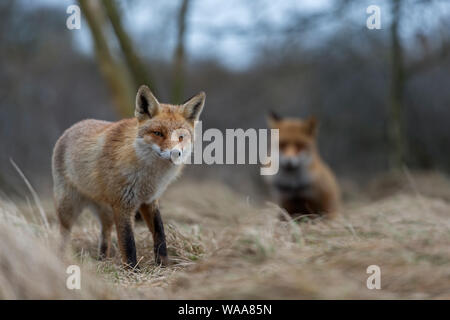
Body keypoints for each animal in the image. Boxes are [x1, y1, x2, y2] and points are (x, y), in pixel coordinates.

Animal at [52, 85, 206, 268]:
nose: (176, 153)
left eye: (181, 136)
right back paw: (61, 258)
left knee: (105, 232)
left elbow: (160, 233)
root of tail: (73, 126)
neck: (149, 177)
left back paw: (103, 259)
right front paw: (133, 269)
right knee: (64, 232)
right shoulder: (123, 203)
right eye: (158, 133)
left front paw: (163, 263)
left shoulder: (149, 200)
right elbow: (128, 242)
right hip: (68, 207)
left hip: (106, 210)